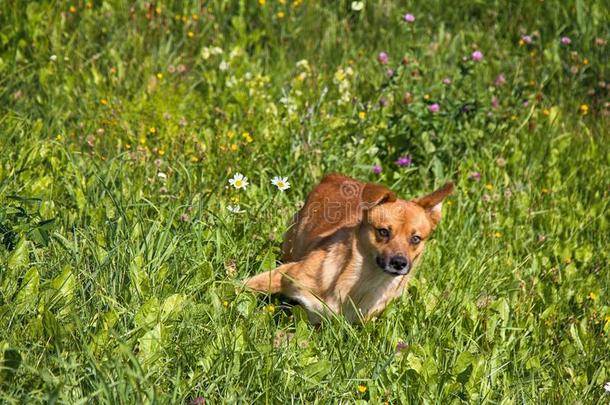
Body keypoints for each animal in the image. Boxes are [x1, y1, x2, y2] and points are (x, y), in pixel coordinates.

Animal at [243, 171, 452, 322]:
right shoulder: (285, 274)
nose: (399, 263)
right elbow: (243, 286)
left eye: (415, 239)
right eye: (383, 231)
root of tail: (336, 176)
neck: (366, 280)